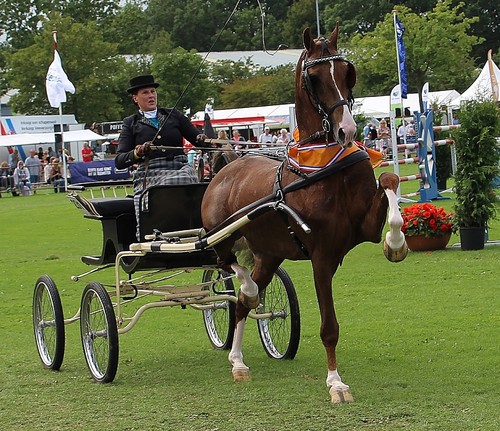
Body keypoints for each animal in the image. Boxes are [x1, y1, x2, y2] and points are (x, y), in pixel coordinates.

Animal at [199, 24, 406, 404]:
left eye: (346, 72)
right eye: (314, 77)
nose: (348, 131)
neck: (322, 167)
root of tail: (226, 167)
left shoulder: (365, 227)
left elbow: (389, 180)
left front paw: (396, 245)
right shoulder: (321, 256)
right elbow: (329, 327)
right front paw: (336, 383)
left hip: (269, 255)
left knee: (241, 303)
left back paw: (238, 360)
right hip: (221, 236)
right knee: (227, 268)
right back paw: (246, 296)